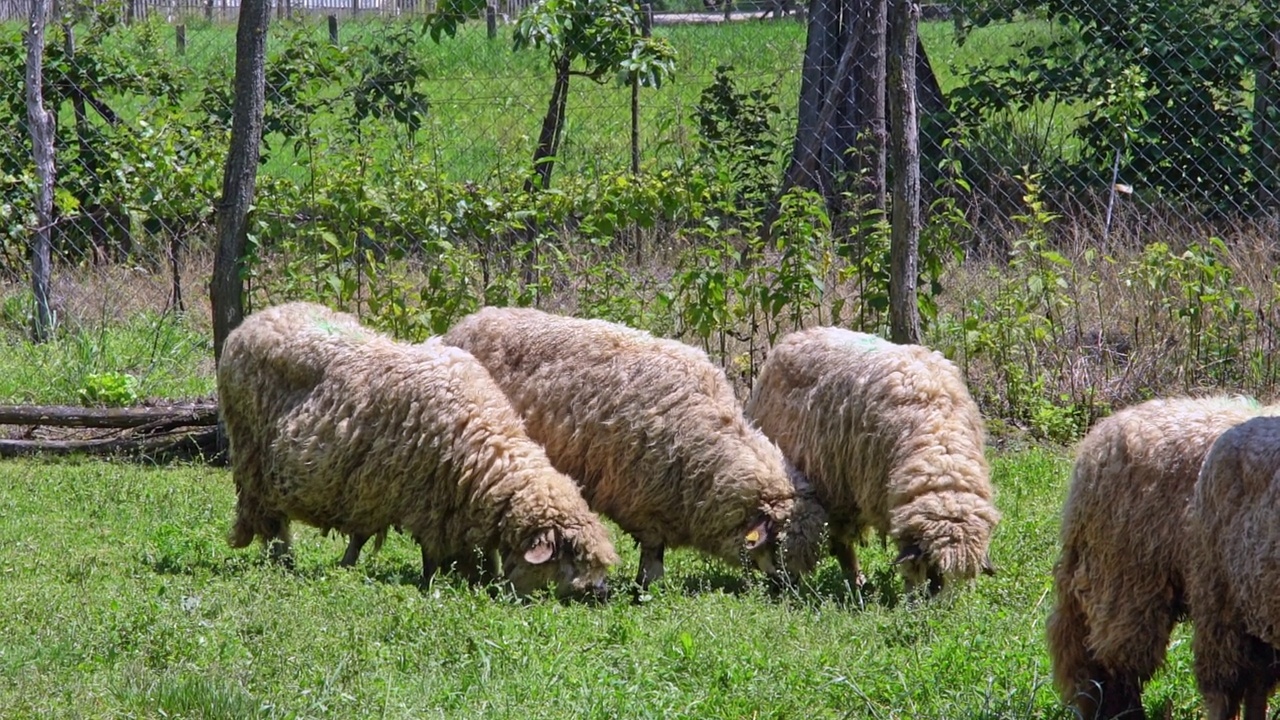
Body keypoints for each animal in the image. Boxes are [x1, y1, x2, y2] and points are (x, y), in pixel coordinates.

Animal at [216, 299, 619, 597]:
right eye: (571, 557)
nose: (601, 594)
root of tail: (253, 320)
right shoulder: (417, 497)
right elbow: (421, 549)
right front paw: (427, 583)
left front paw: (481, 577)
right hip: (252, 459)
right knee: (272, 522)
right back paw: (283, 561)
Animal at [430, 303, 824, 589]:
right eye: (779, 545)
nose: (788, 590)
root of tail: (468, 322)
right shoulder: (642, 501)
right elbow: (653, 552)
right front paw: (648, 588)